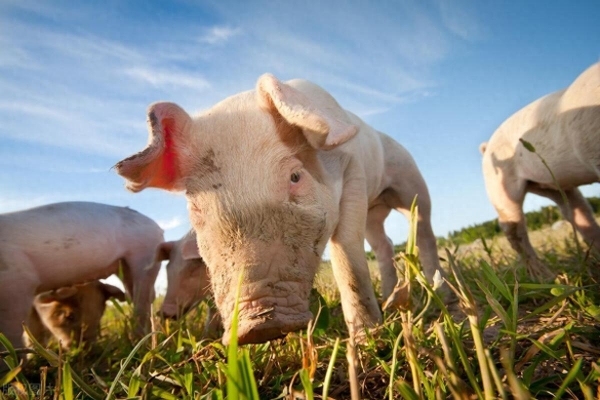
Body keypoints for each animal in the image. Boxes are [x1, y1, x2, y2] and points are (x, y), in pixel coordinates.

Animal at [0, 202, 163, 352]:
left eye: (100, 316)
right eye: (69, 316)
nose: (85, 349)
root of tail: (157, 228)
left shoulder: (17, 280)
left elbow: (12, 332)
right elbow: (33, 331)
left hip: (145, 255)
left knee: (142, 300)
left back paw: (141, 344)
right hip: (124, 266)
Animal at [115, 72, 448, 344]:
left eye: (295, 177)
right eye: (196, 207)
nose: (260, 324)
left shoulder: (352, 170)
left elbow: (347, 257)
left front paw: (367, 338)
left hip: (411, 183)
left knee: (424, 229)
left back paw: (440, 292)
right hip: (374, 212)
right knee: (384, 243)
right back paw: (392, 300)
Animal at [480, 63, 600, 282]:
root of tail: (486, 147)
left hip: (553, 185)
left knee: (576, 211)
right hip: (500, 188)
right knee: (513, 228)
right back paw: (545, 278)